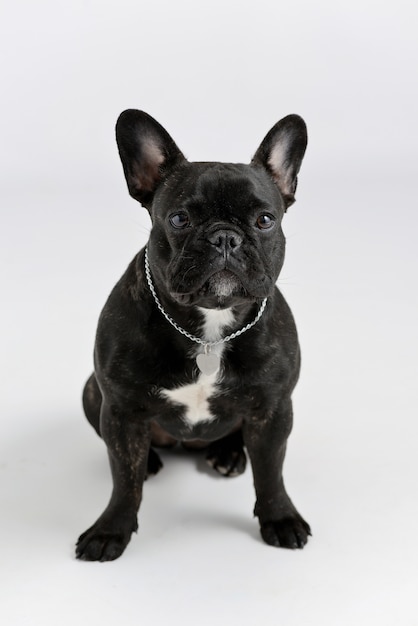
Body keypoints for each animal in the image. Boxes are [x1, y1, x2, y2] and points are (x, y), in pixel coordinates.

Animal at [76, 108, 310, 560]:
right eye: (179, 219)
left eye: (265, 220)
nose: (225, 236)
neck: (209, 330)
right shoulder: (120, 411)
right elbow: (123, 482)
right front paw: (111, 529)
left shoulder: (274, 410)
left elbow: (271, 473)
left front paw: (280, 518)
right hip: (93, 393)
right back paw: (151, 461)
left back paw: (228, 454)